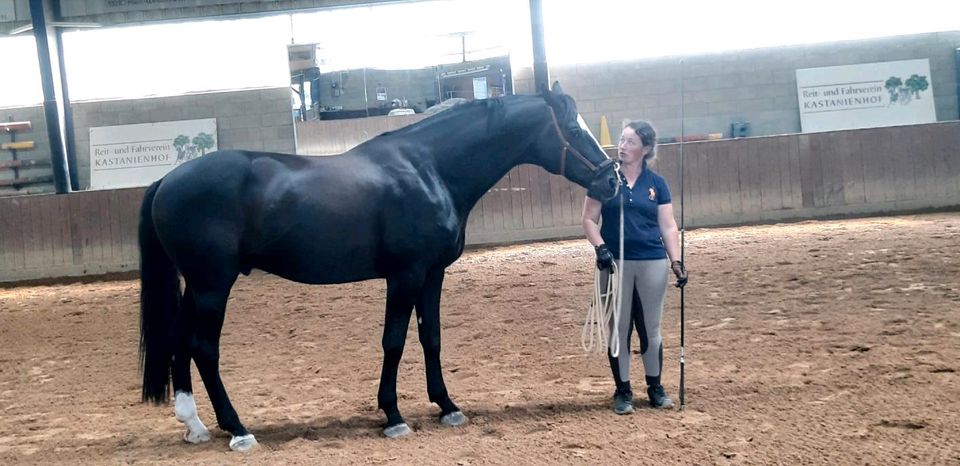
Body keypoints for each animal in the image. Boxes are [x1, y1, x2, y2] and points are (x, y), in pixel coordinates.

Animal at [139, 82, 620, 450]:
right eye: (573, 130)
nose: (612, 180)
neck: (430, 170)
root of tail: (166, 180)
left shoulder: (432, 274)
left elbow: (431, 337)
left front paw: (447, 406)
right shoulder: (405, 275)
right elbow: (394, 341)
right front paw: (393, 415)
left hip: (196, 287)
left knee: (180, 343)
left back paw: (195, 425)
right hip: (212, 286)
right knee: (203, 348)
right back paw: (237, 429)